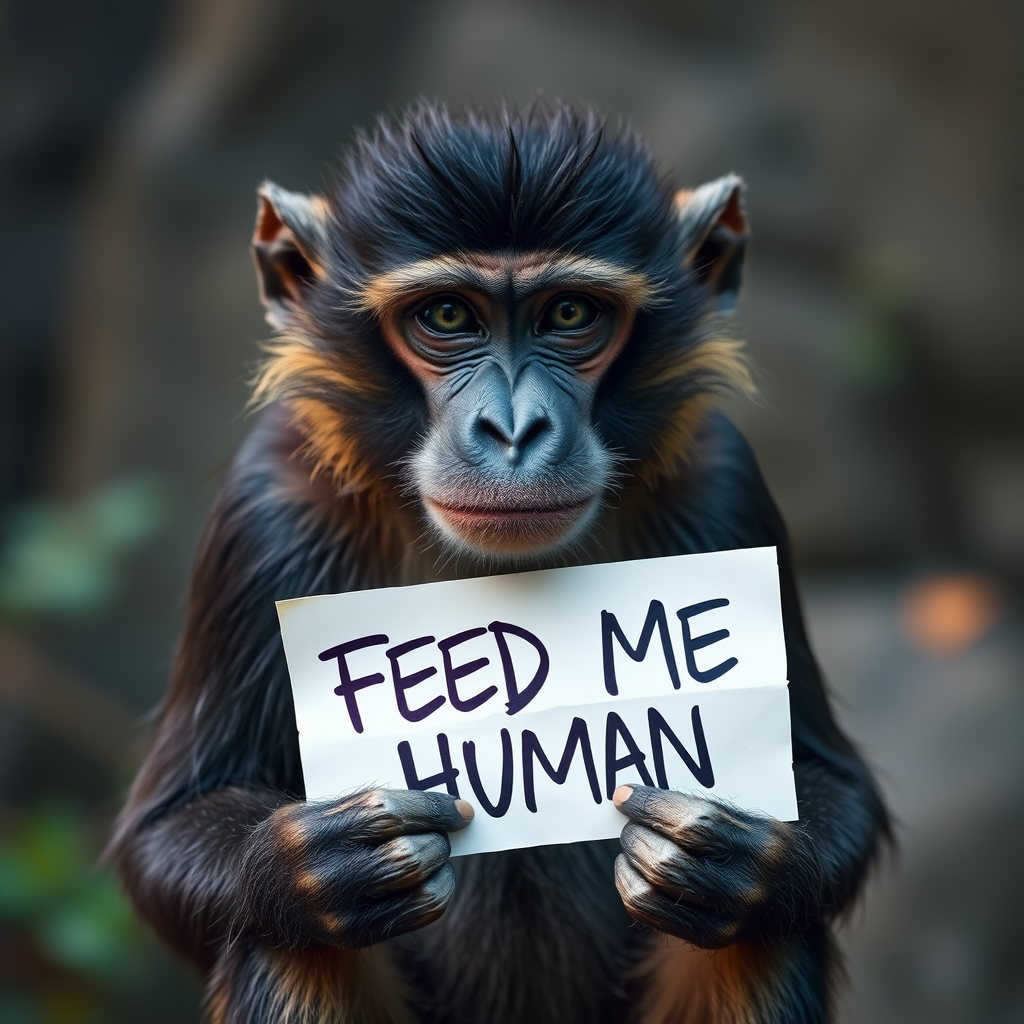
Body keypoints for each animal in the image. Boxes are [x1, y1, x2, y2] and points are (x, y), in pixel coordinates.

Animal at [110, 103, 888, 1024]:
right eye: (447, 318)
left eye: (569, 314)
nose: (514, 429)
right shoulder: (264, 509)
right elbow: (167, 827)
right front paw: (313, 867)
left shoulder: (725, 486)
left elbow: (832, 787)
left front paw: (741, 862)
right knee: (290, 947)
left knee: (759, 942)